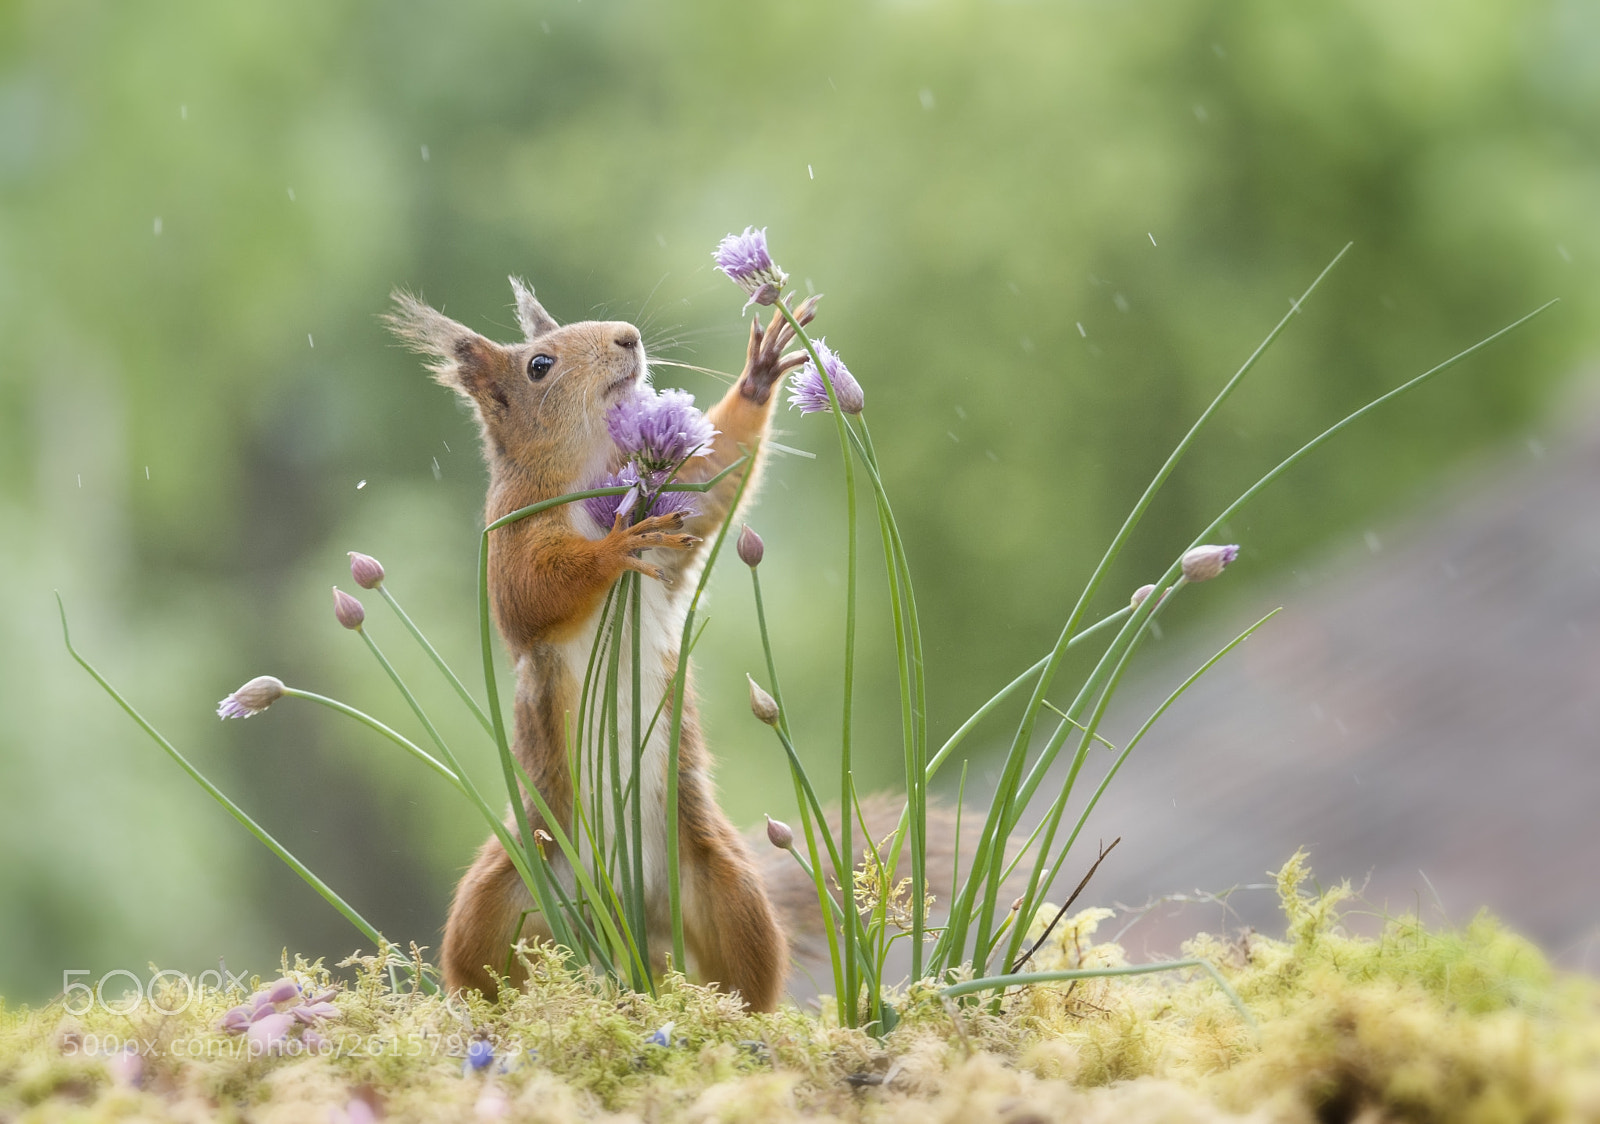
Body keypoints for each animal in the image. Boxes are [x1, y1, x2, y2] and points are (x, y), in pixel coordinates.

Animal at [386, 279, 822, 1011]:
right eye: (539, 365)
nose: (628, 336)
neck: (590, 469)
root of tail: (629, 916)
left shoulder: (678, 517)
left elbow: (720, 471)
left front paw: (758, 376)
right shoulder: (509, 535)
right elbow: (536, 590)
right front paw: (615, 547)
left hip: (722, 883)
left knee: (741, 970)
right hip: (507, 890)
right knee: (480, 965)